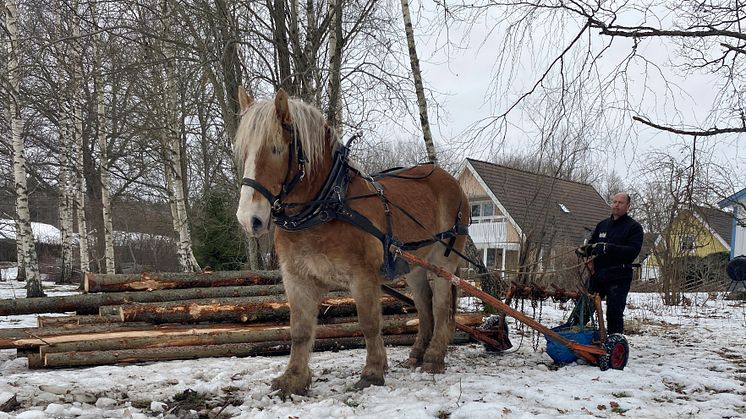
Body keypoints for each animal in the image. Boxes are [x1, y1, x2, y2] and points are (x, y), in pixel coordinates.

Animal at [232, 88, 468, 398]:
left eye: (276, 149)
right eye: (243, 151)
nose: (250, 219)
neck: (327, 206)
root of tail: (452, 182)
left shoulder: (362, 276)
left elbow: (369, 323)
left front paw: (373, 372)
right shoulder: (297, 278)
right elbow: (299, 330)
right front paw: (293, 379)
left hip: (444, 260)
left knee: (440, 306)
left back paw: (434, 357)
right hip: (414, 267)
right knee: (424, 306)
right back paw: (417, 354)